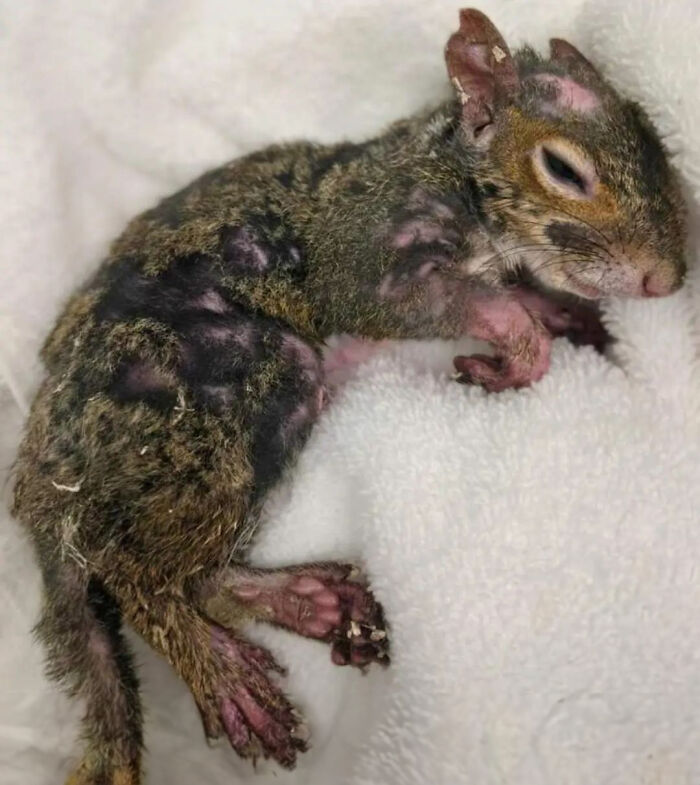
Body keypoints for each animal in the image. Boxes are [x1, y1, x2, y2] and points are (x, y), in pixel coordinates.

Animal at [11, 8, 686, 784]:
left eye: (653, 136)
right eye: (565, 170)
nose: (669, 278)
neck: (449, 170)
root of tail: (47, 483)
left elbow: (513, 295)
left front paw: (568, 319)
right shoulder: (363, 249)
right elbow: (448, 303)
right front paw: (521, 348)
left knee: (197, 576)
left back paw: (309, 601)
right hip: (227, 393)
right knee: (141, 573)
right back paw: (219, 664)